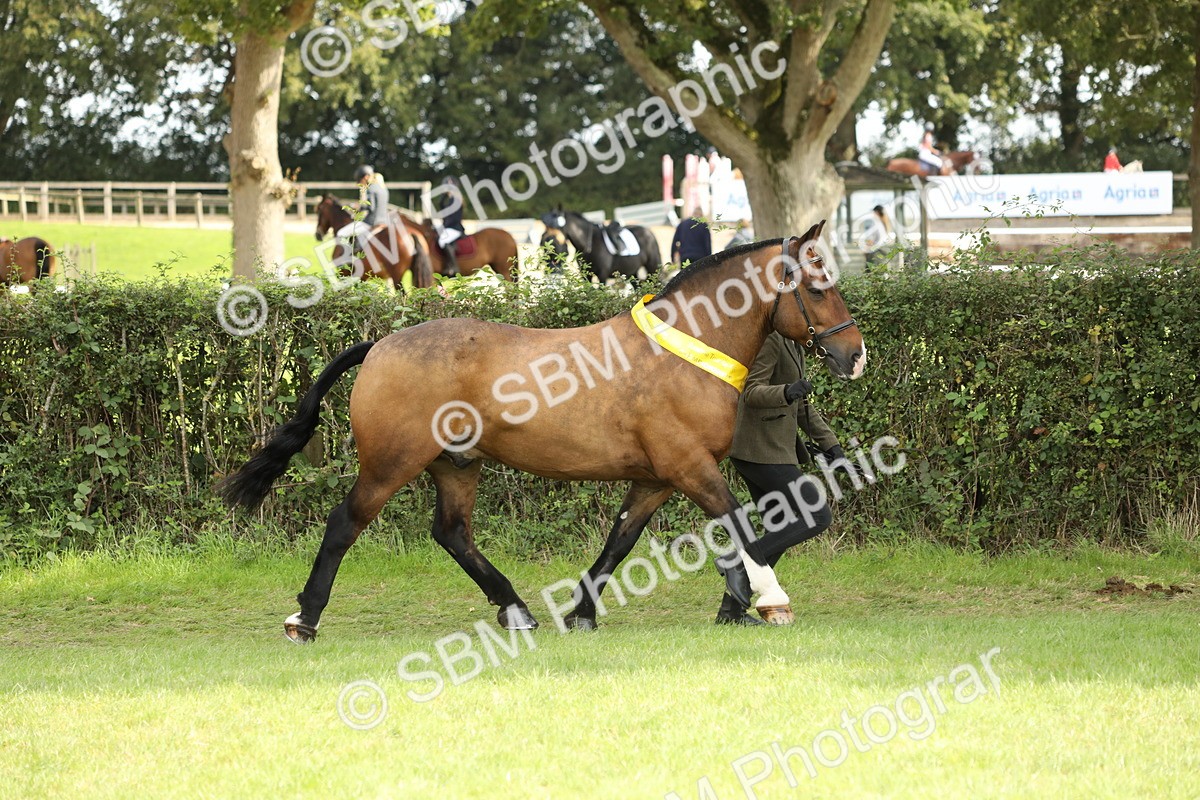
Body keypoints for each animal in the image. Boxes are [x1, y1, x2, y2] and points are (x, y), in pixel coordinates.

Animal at [216, 220, 866, 642]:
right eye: (816, 288)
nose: (855, 356)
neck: (684, 350)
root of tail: (380, 345)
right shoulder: (690, 467)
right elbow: (739, 524)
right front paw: (770, 599)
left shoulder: (656, 479)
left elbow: (618, 542)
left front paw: (582, 613)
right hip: (391, 464)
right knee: (345, 524)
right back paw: (305, 619)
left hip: (457, 464)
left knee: (452, 534)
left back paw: (516, 610)